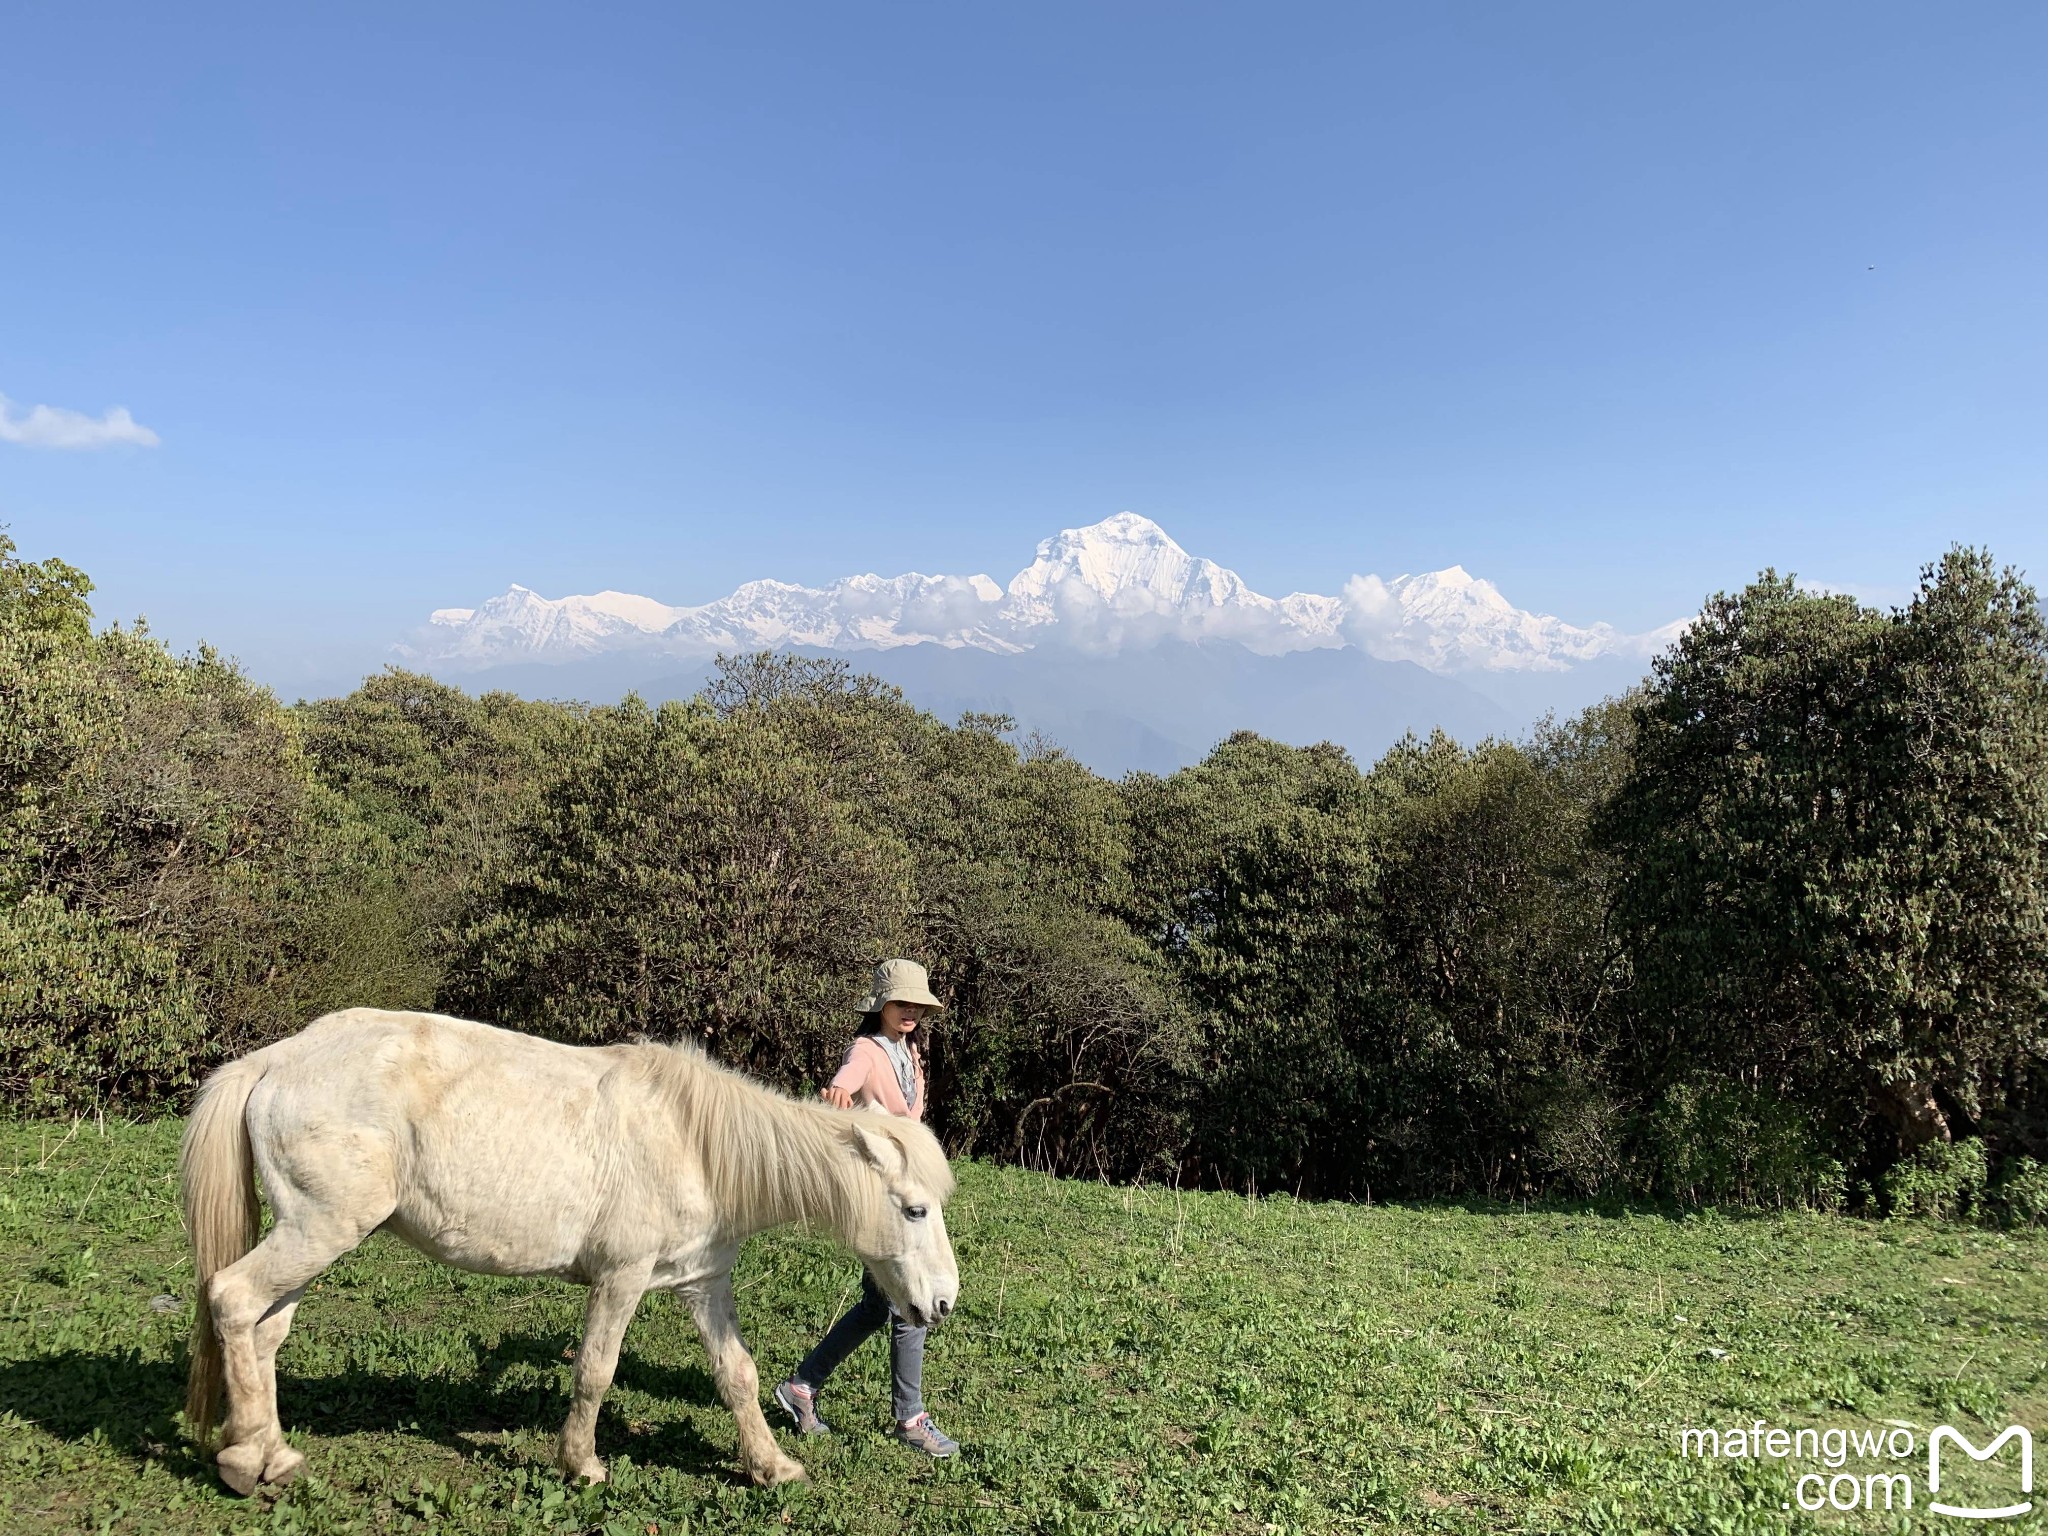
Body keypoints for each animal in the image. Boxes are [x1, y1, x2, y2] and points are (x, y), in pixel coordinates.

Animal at [178, 1011, 958, 1507]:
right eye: (915, 1209)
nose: (942, 1302)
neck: (695, 1142)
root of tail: (274, 1059)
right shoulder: (621, 1279)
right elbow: (595, 1372)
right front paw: (581, 1465)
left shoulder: (704, 1283)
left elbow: (736, 1374)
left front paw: (771, 1466)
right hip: (318, 1231)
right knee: (233, 1300)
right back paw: (243, 1462)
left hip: (311, 1237)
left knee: (264, 1333)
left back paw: (273, 1455)